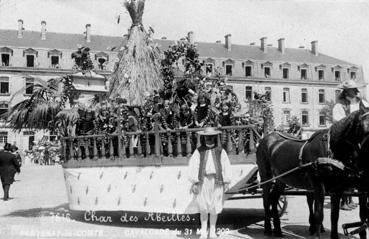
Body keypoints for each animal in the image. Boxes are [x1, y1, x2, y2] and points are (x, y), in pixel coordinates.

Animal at [254, 107, 368, 239]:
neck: (331, 150)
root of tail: (267, 138)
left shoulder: (337, 189)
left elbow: (335, 216)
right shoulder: (319, 186)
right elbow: (319, 214)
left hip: (281, 179)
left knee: (274, 198)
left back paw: (277, 229)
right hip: (266, 176)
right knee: (266, 199)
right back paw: (268, 228)